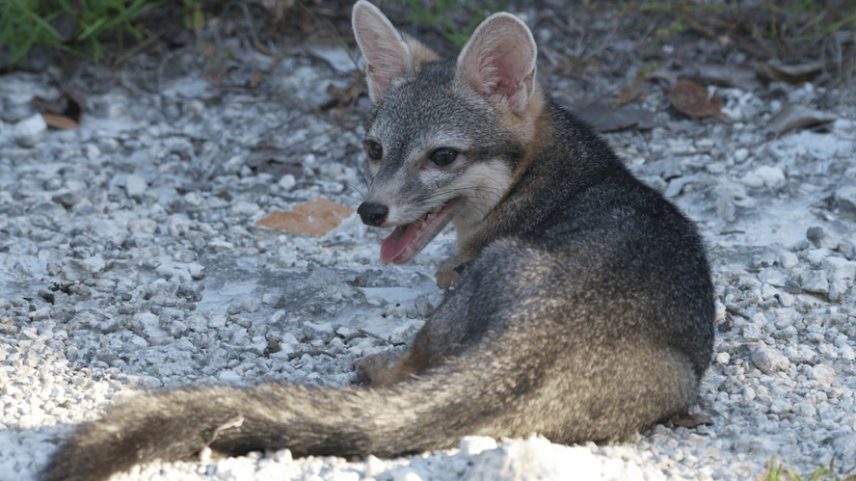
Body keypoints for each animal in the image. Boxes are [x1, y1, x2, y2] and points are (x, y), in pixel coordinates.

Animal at [40, 2, 715, 480]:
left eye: (442, 156)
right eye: (373, 149)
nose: (370, 211)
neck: (551, 172)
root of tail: (544, 335)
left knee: (410, 368)